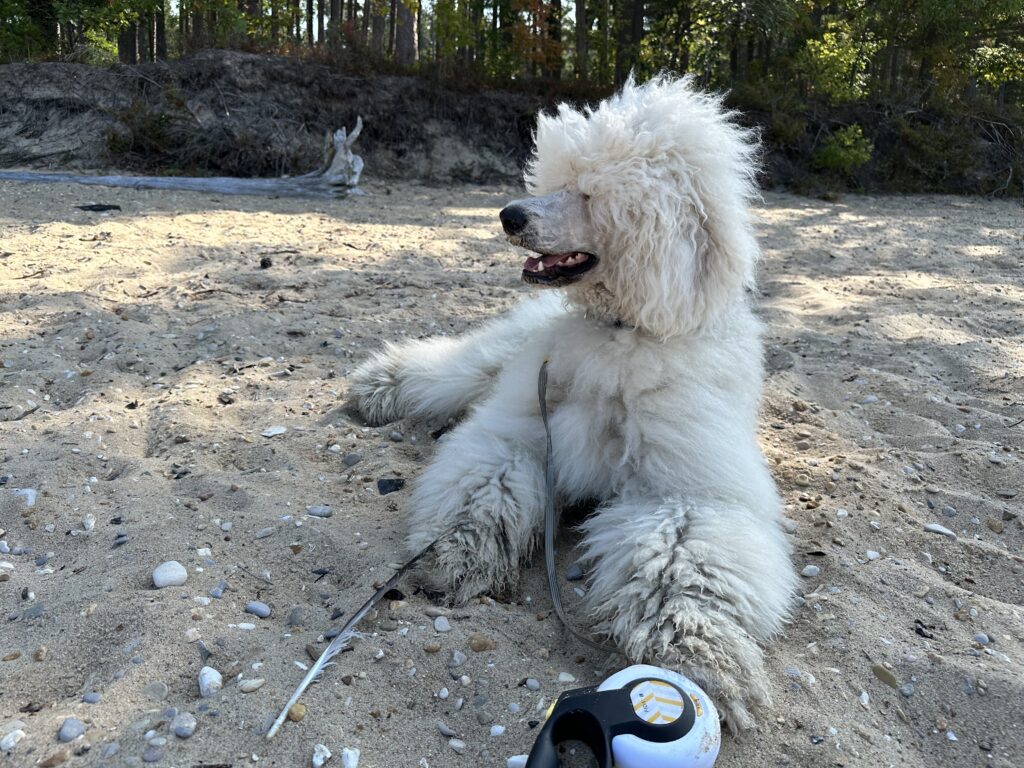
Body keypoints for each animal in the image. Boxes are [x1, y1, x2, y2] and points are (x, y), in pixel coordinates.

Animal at [350, 75, 796, 729]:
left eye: (591, 195)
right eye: (558, 181)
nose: (509, 215)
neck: (619, 331)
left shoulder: (690, 492)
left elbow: (684, 559)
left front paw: (694, 647)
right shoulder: (520, 433)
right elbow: (484, 488)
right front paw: (458, 552)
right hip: (492, 358)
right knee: (444, 370)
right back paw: (378, 384)